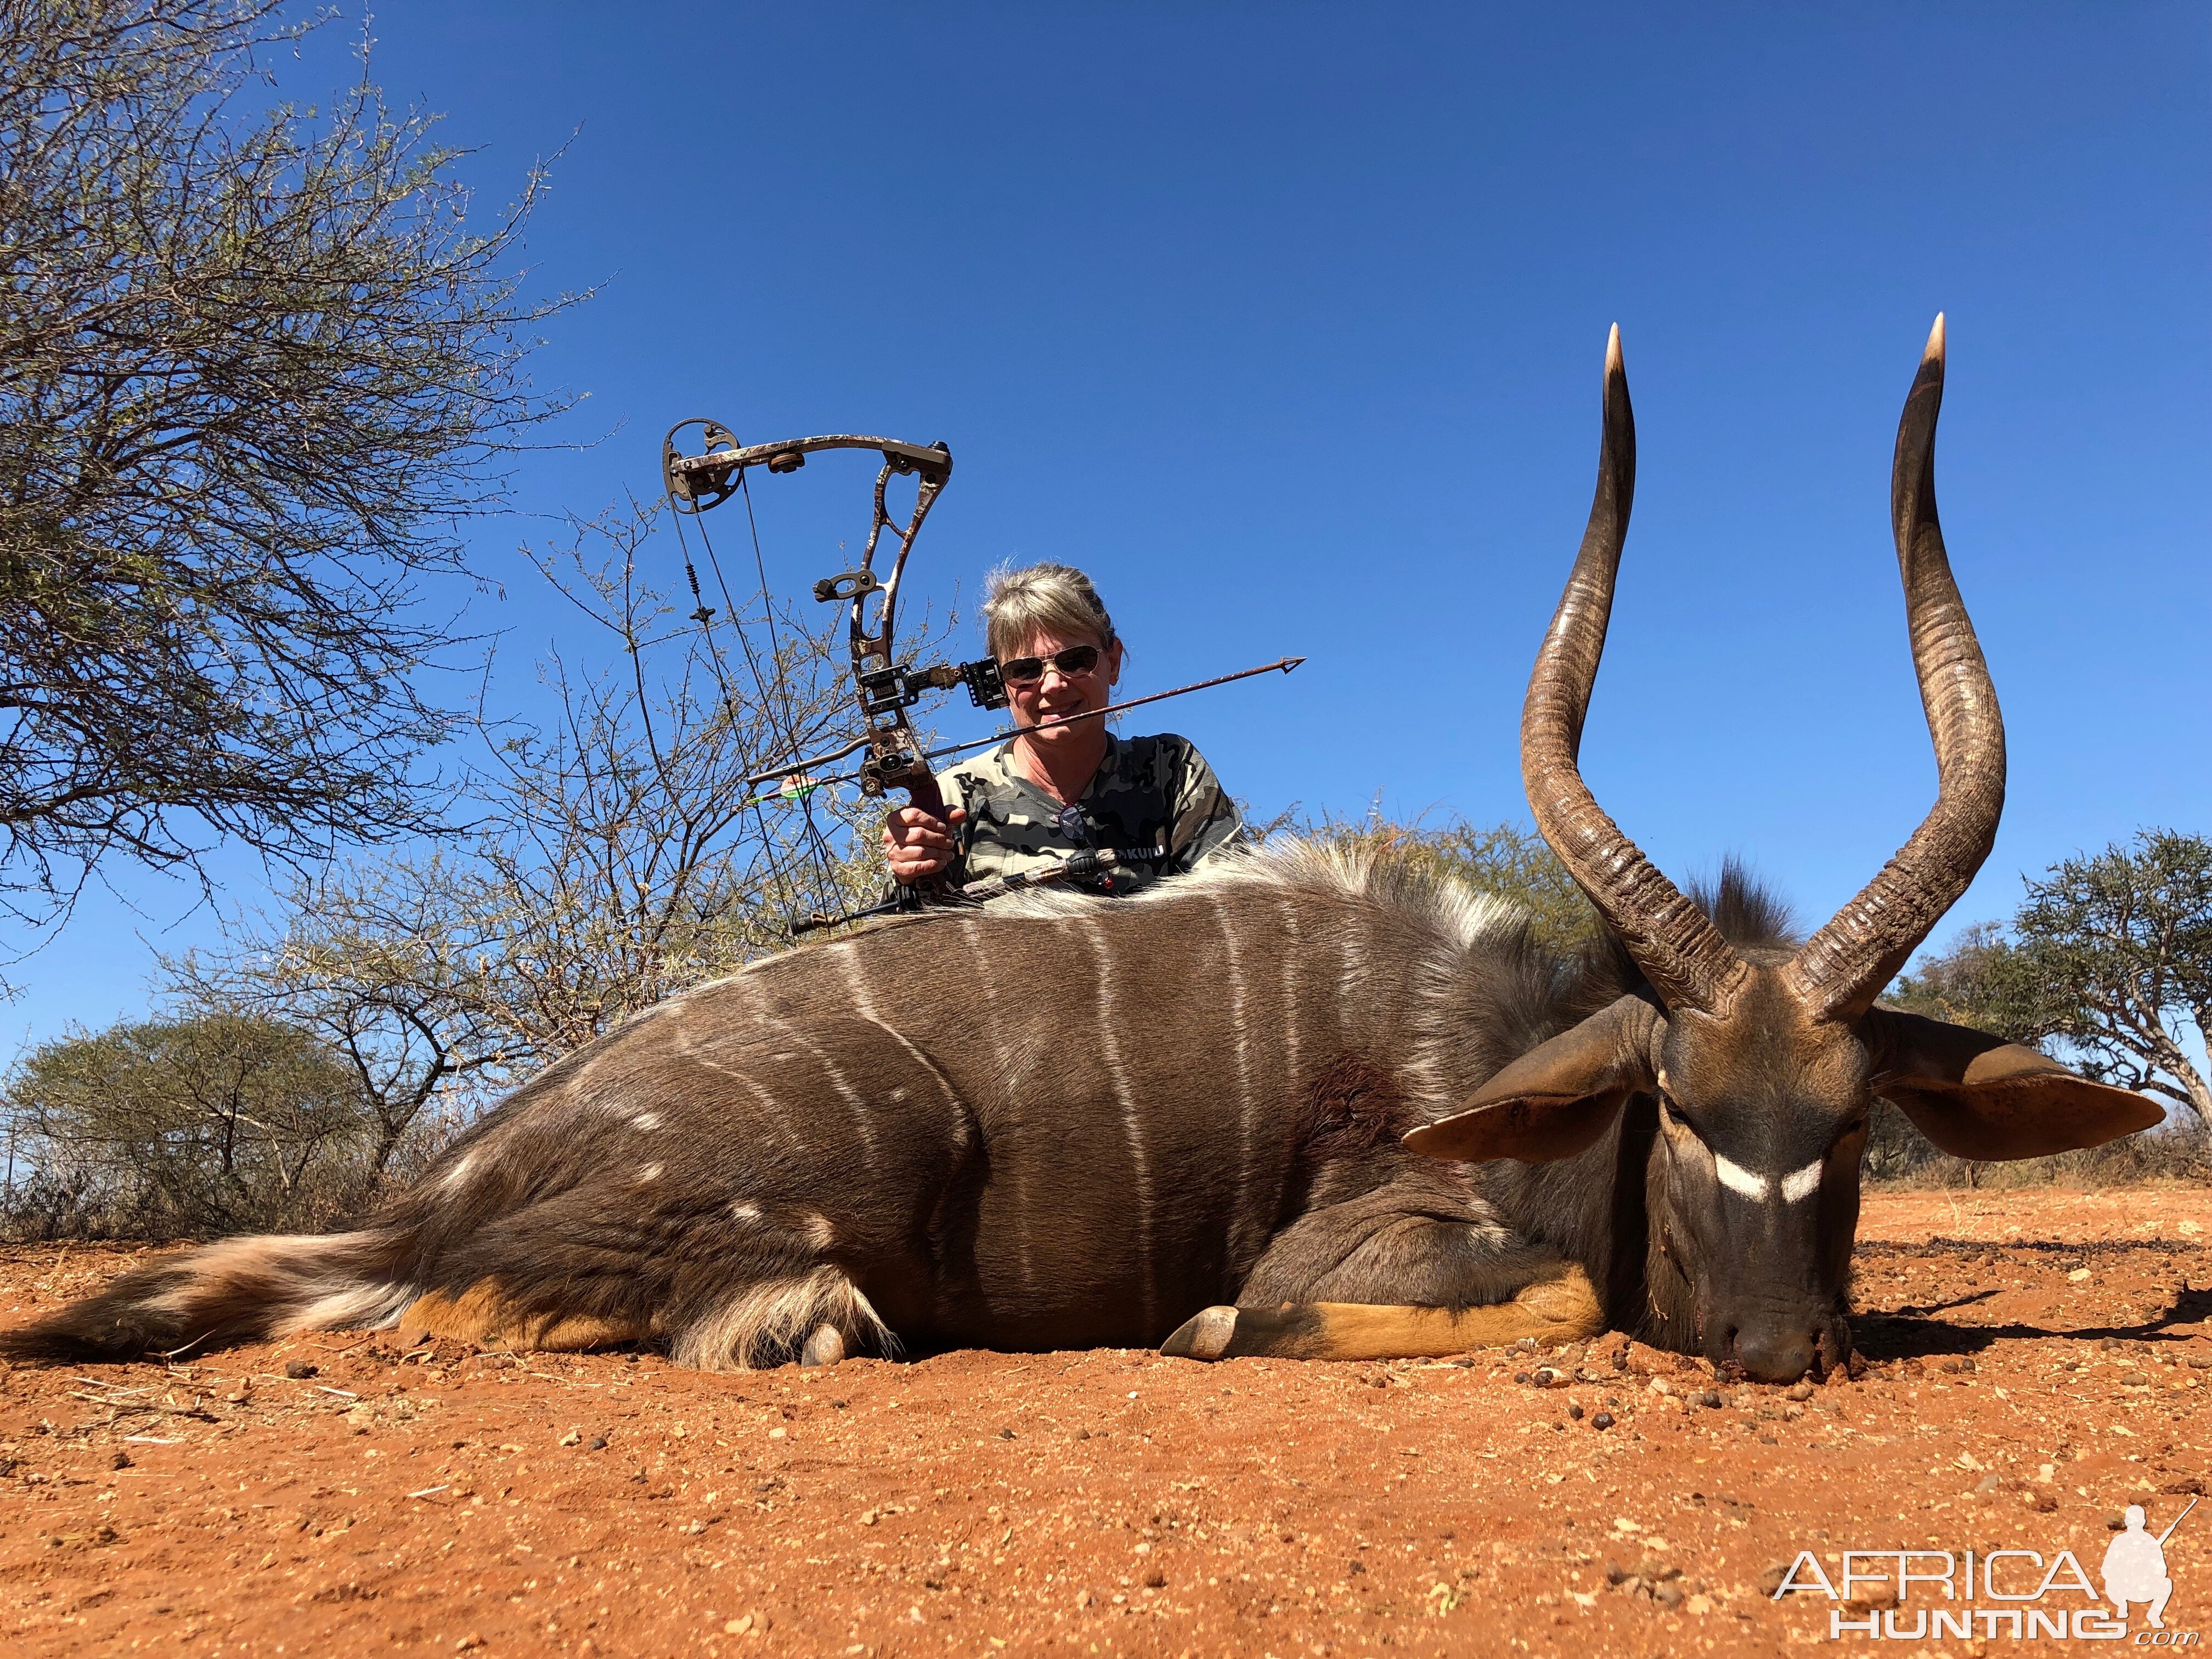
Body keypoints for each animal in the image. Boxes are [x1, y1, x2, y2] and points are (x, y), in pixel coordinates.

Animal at [0, 318, 2141, 1380]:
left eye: (1853, 1123)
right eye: (1681, 1109)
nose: (1780, 1351)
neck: (1505, 1055)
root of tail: (453, 1174)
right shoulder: (1378, 1235)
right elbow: (1505, 1300)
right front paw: (1205, 1321)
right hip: (830, 1181)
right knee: (485, 1305)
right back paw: (787, 1321)